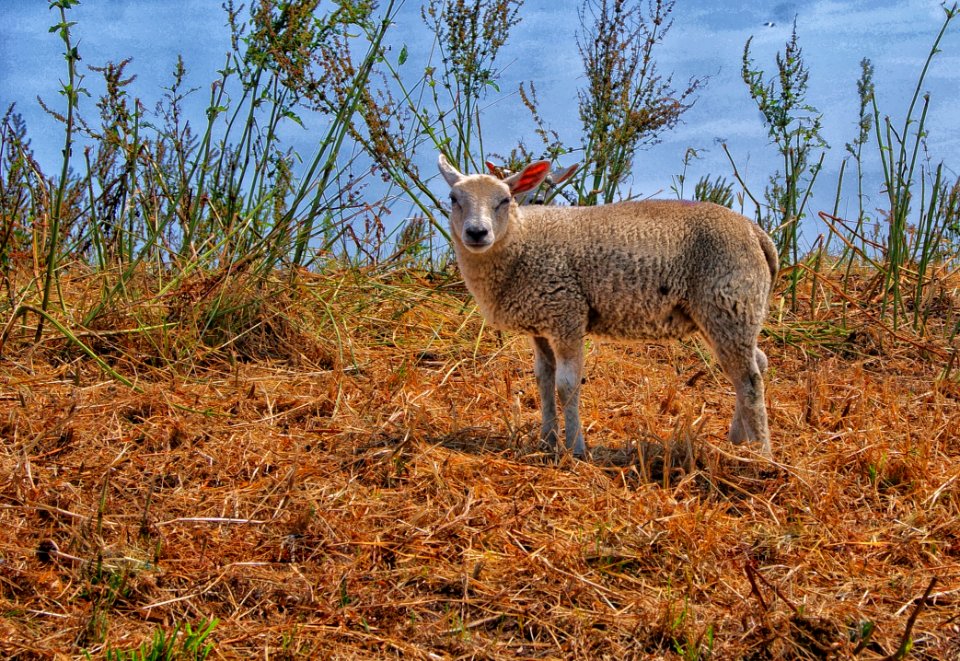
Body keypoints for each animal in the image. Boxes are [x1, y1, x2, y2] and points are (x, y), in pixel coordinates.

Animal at [440, 152, 780, 456]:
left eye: (504, 200)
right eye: (454, 199)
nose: (477, 233)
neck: (522, 241)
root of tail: (757, 233)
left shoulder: (567, 314)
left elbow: (566, 384)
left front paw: (575, 448)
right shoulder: (541, 323)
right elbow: (544, 381)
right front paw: (546, 443)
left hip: (729, 302)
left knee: (749, 380)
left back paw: (762, 456)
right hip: (726, 311)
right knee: (756, 363)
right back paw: (739, 441)